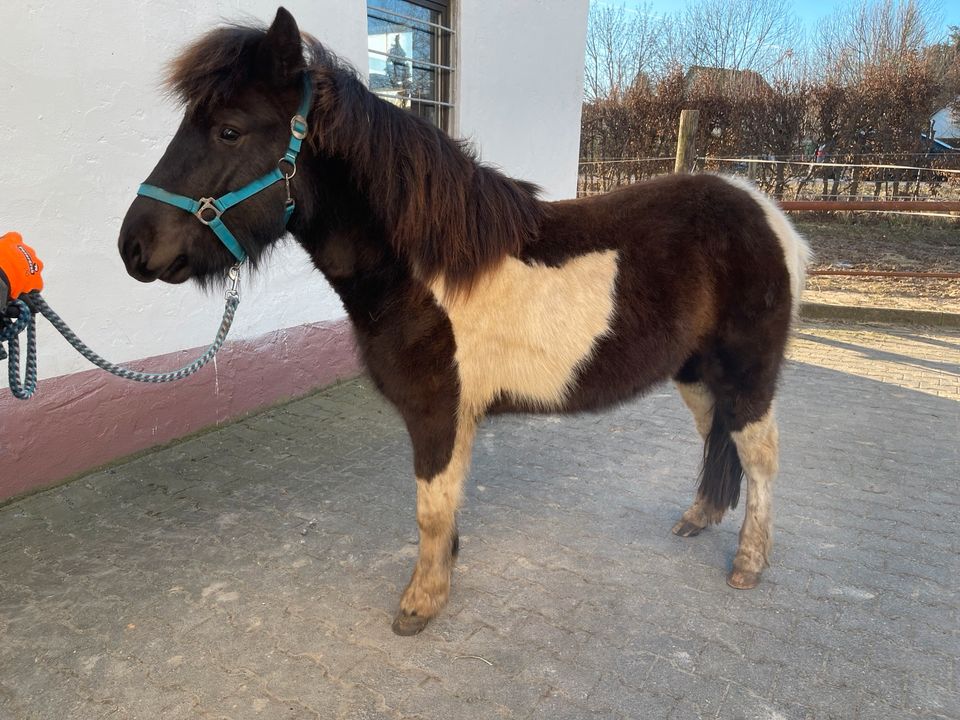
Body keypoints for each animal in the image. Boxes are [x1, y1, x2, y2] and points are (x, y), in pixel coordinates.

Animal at [120, 8, 808, 632]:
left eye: (229, 131)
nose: (134, 247)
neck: (425, 269)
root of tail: (765, 210)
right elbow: (444, 505)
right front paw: (444, 569)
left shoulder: (439, 412)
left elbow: (430, 506)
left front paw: (421, 603)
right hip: (695, 373)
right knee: (718, 436)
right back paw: (698, 518)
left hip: (749, 374)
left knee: (762, 457)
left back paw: (748, 564)